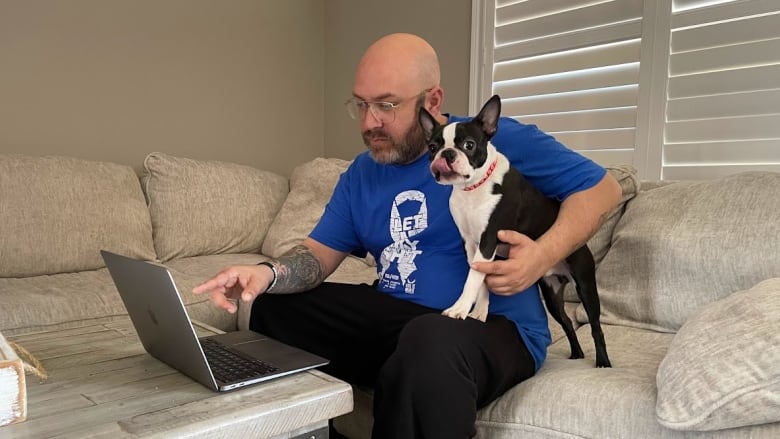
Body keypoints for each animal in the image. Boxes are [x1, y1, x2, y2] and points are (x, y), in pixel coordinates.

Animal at [418, 95, 612, 368]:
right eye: (433, 147)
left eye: (469, 145)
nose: (446, 154)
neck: (472, 189)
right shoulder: (471, 244)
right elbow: (481, 278)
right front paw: (479, 313)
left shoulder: (488, 240)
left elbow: (472, 279)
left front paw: (459, 309)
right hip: (552, 295)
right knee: (567, 323)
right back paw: (576, 353)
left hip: (585, 286)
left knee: (596, 327)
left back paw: (603, 361)